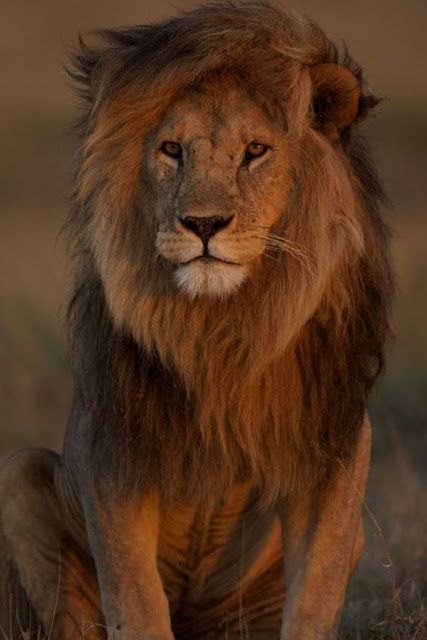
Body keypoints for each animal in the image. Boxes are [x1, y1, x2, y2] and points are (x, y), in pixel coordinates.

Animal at [0, 1, 394, 640]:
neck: (219, 331)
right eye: (171, 150)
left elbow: (316, 591)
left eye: (255, 151)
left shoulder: (334, 444)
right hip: (19, 473)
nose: (203, 224)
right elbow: (135, 598)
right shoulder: (113, 446)